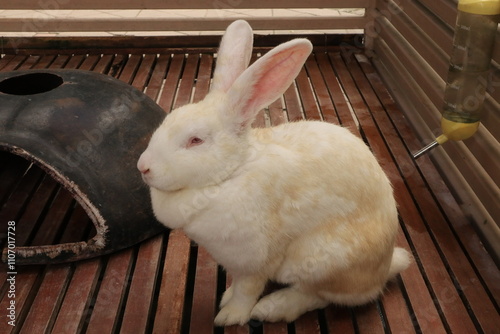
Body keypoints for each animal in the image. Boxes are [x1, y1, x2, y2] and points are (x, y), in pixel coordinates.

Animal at [138, 19, 410, 324]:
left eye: (195, 140)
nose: (143, 166)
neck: (231, 174)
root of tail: (384, 268)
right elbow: (237, 285)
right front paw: (226, 297)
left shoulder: (257, 259)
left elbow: (247, 290)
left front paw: (230, 315)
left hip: (320, 262)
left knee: (319, 296)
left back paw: (272, 308)